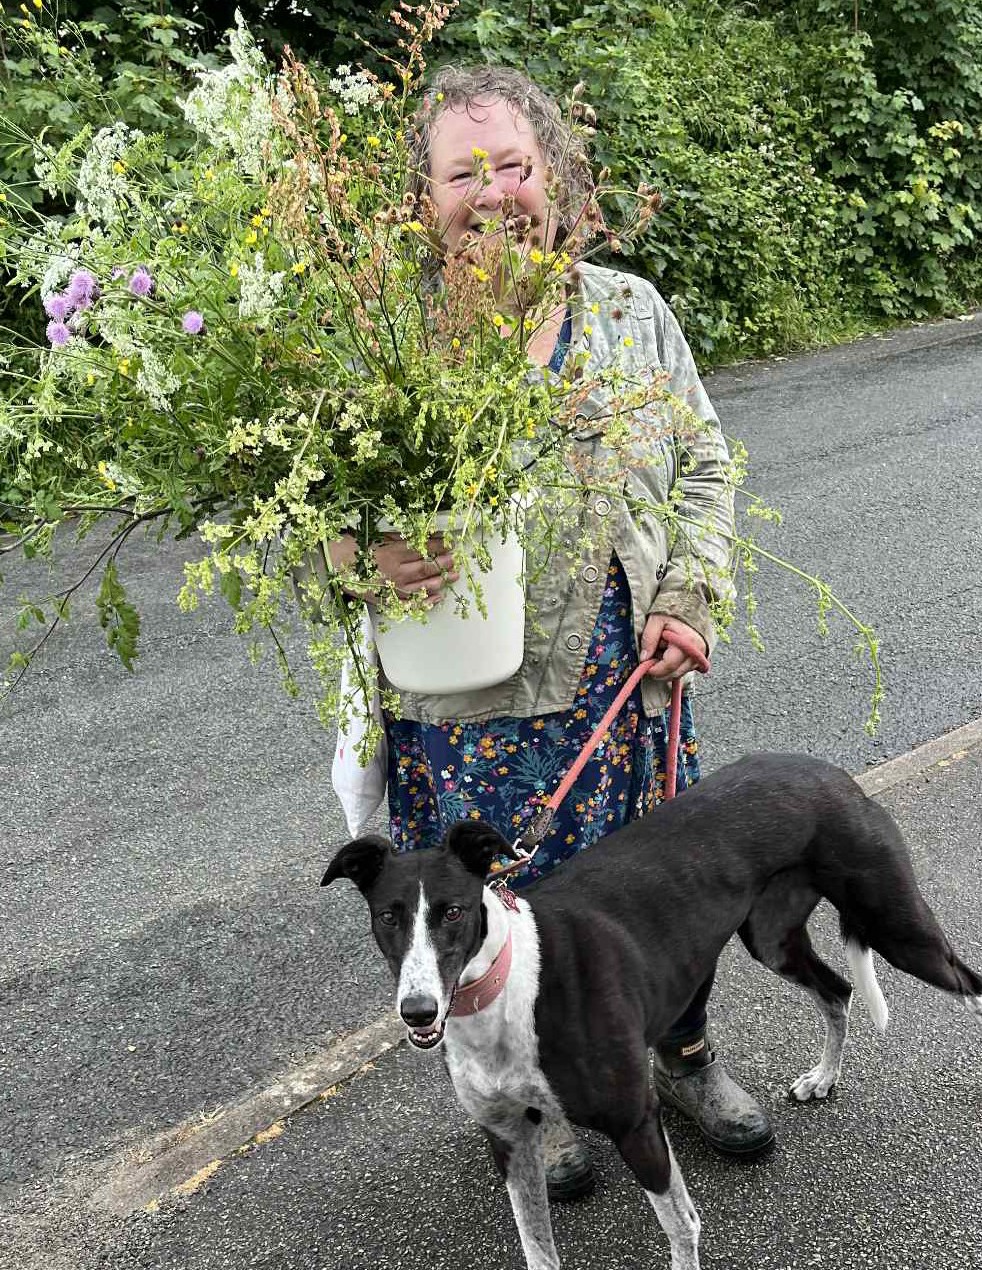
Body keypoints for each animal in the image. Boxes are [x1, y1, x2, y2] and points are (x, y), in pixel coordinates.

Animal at [323, 752, 982, 1270]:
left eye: (454, 911)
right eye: (388, 916)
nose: (417, 1011)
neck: (508, 988)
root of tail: (831, 773)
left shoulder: (637, 1122)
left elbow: (681, 1226)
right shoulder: (509, 1140)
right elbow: (537, 1245)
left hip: (901, 930)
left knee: (969, 984)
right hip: (772, 938)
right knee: (839, 991)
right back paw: (823, 1077)